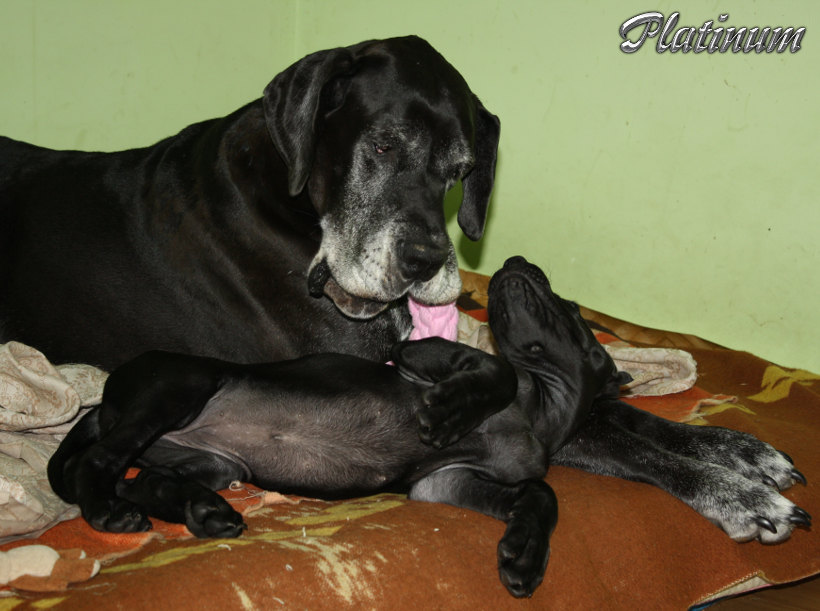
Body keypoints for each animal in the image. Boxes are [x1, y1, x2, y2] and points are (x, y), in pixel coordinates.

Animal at [47, 257, 810, 598]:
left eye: (567, 305)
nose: (517, 260)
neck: (545, 406)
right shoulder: (425, 358)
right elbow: (497, 375)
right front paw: (743, 493)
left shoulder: (453, 478)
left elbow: (560, 481)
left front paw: (523, 554)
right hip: (176, 389)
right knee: (99, 463)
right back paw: (109, 511)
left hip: (206, 457)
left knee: (150, 478)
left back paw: (200, 511)